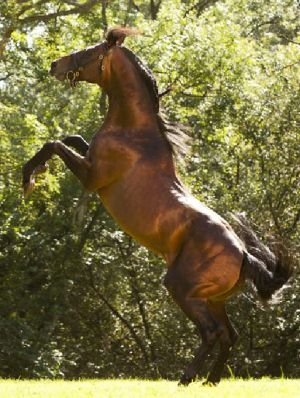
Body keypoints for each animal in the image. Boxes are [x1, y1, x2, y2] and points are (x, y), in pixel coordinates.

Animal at [22, 28, 292, 386]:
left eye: (90, 52)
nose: (55, 64)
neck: (134, 133)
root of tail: (245, 255)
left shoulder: (92, 177)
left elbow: (54, 143)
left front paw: (27, 178)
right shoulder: (90, 160)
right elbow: (71, 138)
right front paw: (35, 174)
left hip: (181, 288)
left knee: (212, 332)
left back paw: (186, 379)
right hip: (211, 298)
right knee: (229, 335)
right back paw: (211, 381)